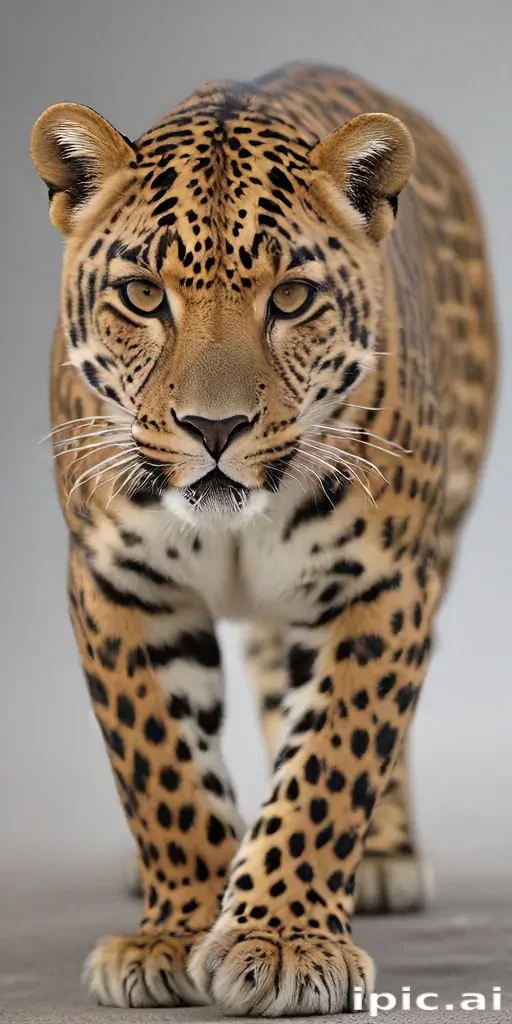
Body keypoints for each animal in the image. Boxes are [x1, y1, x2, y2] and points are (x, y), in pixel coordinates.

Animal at [30, 62, 497, 1015]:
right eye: (143, 296)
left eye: (292, 299)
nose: (215, 428)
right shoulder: (118, 583)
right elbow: (161, 764)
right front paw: (175, 934)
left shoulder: (381, 583)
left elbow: (332, 759)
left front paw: (283, 939)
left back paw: (382, 857)